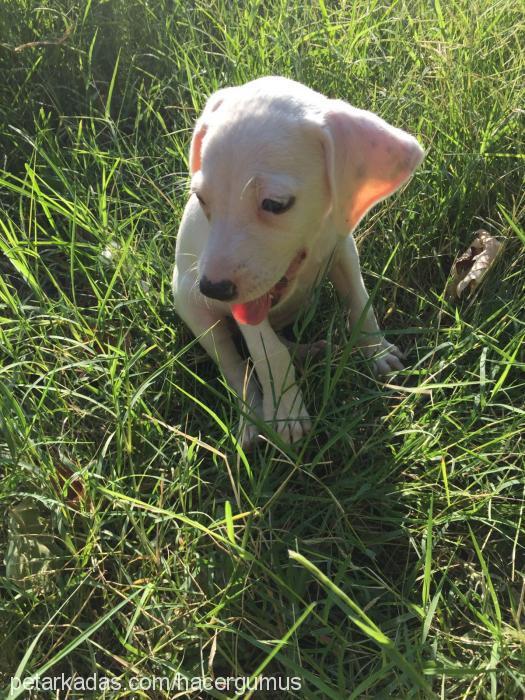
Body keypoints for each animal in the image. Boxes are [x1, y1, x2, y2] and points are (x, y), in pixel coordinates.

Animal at [174, 76, 424, 446]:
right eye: (201, 199)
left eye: (275, 204)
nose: (213, 289)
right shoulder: (246, 305)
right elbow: (268, 354)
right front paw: (287, 412)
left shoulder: (343, 249)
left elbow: (360, 302)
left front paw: (377, 351)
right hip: (197, 314)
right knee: (236, 369)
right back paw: (252, 419)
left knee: (282, 344)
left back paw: (308, 350)